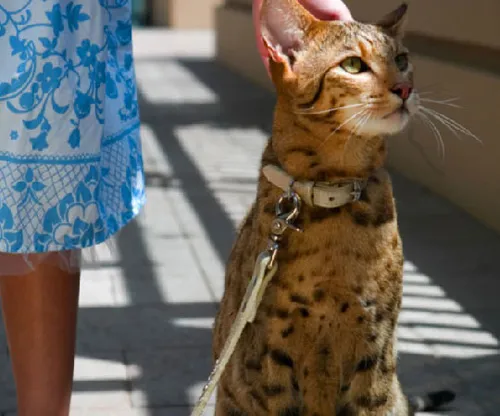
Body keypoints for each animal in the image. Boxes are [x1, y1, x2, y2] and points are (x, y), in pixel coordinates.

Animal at [213, 1, 456, 414]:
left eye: (402, 59)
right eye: (354, 65)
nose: (405, 88)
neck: (333, 190)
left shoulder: (375, 345)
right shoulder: (268, 353)